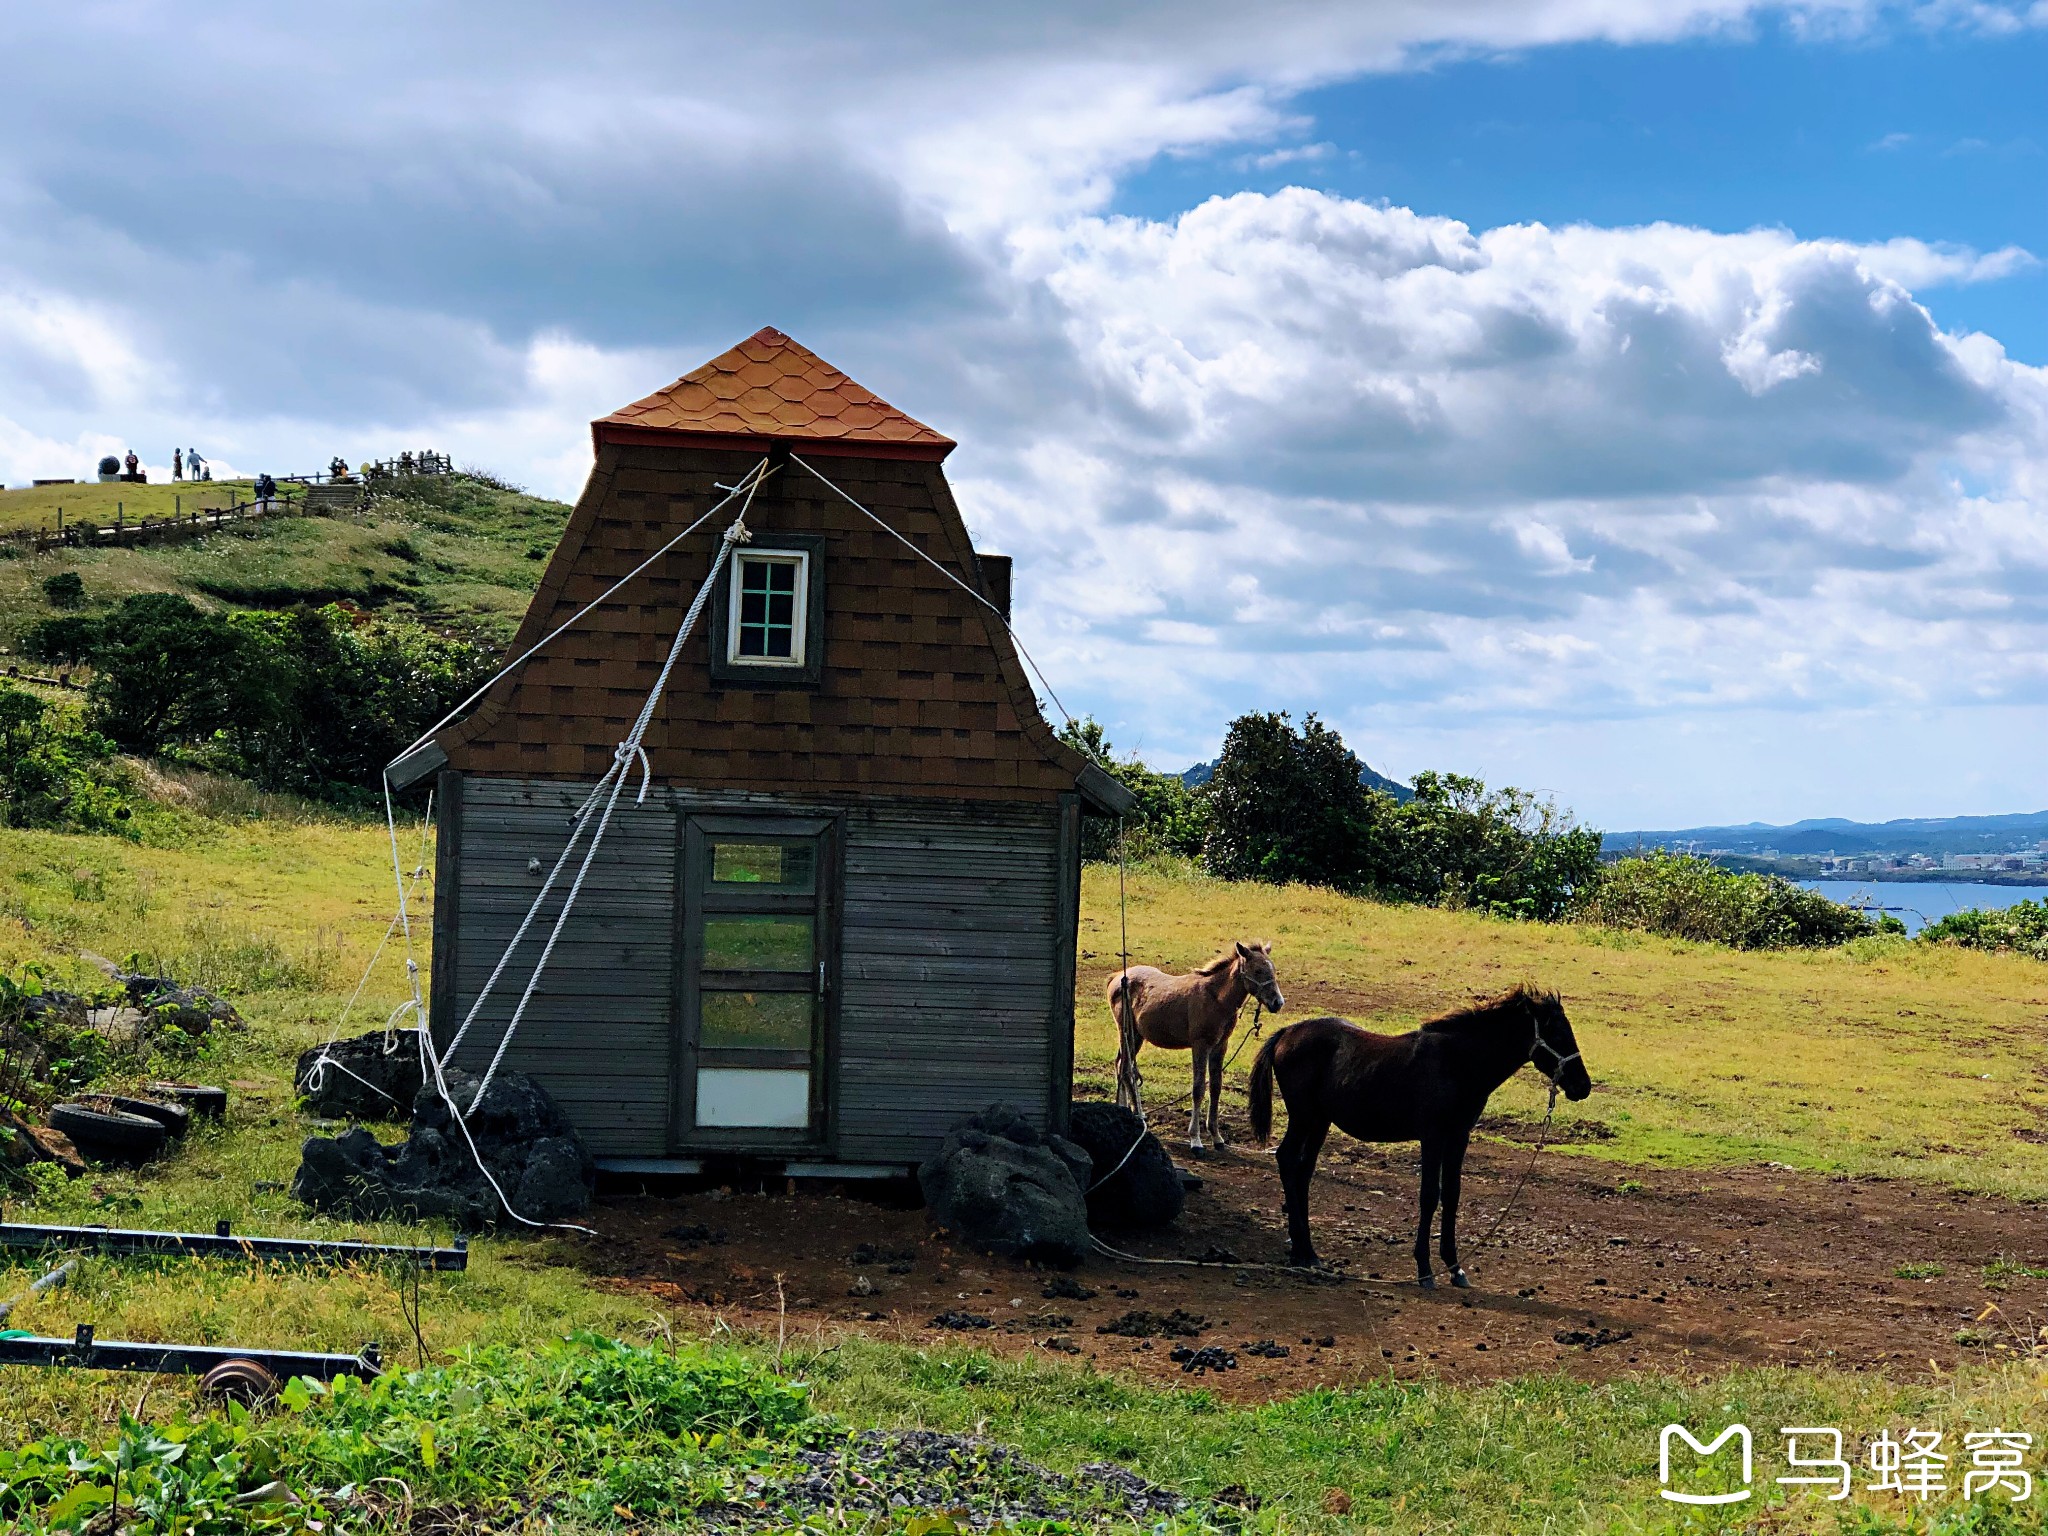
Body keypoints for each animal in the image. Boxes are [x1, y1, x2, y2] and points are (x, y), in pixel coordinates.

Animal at [1105, 946, 1277, 1146]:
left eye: (1273, 969)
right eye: (1258, 971)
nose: (1277, 1002)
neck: (1215, 998)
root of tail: (1116, 976)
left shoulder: (1220, 1046)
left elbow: (1216, 1087)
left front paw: (1217, 1137)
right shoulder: (1200, 1045)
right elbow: (1198, 1088)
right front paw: (1195, 1139)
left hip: (1135, 1037)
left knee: (1121, 1066)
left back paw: (1124, 1109)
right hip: (1129, 1034)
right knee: (1125, 1069)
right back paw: (1138, 1115)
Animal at [1236, 987, 1589, 1286]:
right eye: (1558, 1032)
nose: (1583, 1086)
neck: (1456, 1063)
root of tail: (1285, 1033)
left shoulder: (1458, 1136)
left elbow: (1452, 1194)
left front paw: (1455, 1267)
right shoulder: (1432, 1136)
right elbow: (1429, 1195)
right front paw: (1425, 1269)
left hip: (1320, 1121)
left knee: (1303, 1170)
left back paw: (1305, 1249)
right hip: (1303, 1116)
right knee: (1286, 1160)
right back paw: (1303, 1251)